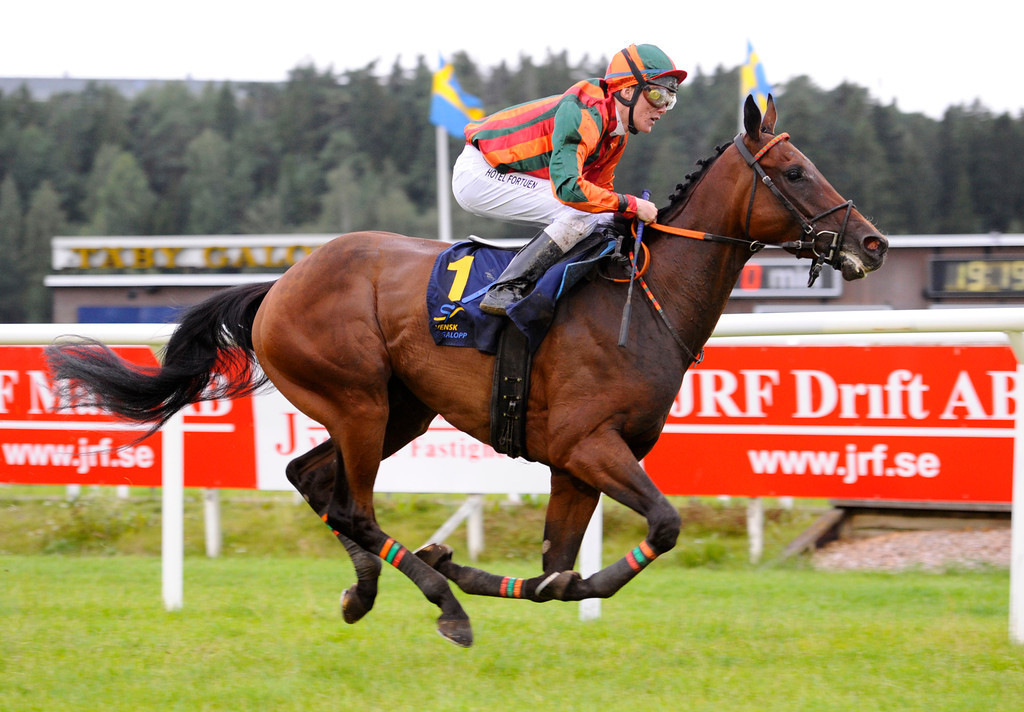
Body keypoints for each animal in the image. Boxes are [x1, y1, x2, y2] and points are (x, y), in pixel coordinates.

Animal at [44, 97, 884, 647]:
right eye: (796, 171)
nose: (872, 244)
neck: (642, 299)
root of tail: (279, 284)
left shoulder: (577, 465)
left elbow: (555, 569)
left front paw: (500, 572)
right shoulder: (588, 446)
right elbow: (662, 527)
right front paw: (465, 572)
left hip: (399, 409)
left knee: (313, 481)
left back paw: (367, 592)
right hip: (357, 401)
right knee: (352, 506)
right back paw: (442, 602)